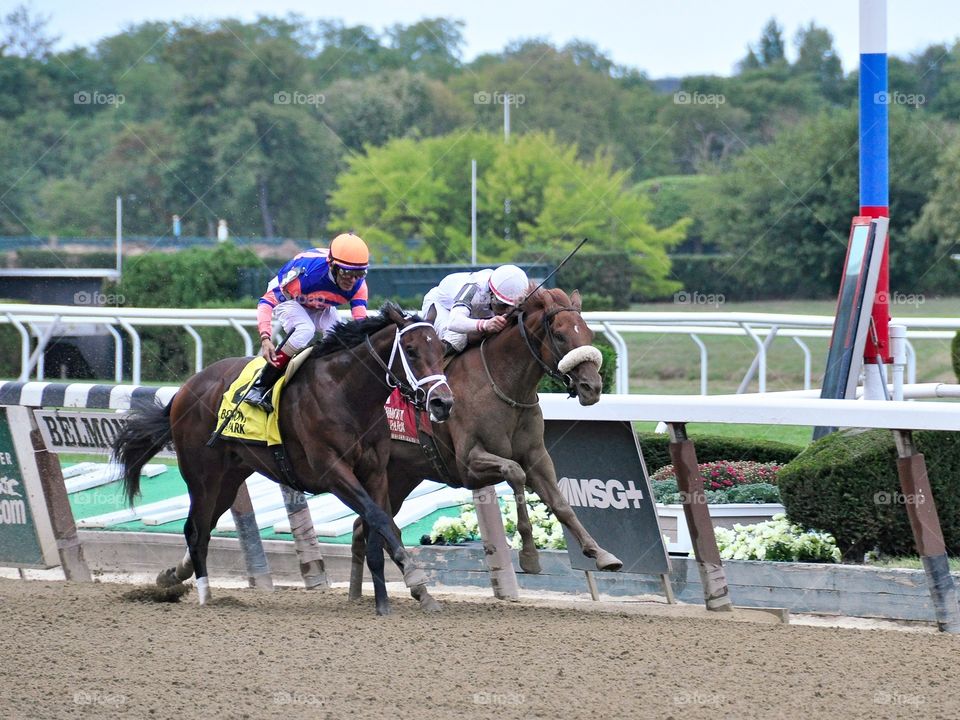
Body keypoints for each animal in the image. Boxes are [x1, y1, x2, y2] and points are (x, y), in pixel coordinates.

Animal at [110, 302, 456, 612]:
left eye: (441, 348)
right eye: (410, 350)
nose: (443, 403)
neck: (346, 394)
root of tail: (185, 387)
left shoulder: (375, 471)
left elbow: (378, 524)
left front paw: (390, 601)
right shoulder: (332, 470)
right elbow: (380, 519)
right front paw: (414, 578)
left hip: (229, 479)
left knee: (203, 528)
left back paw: (174, 578)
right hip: (202, 475)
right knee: (195, 530)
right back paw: (205, 597)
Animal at [350, 284, 624, 612]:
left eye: (588, 333)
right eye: (559, 335)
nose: (592, 387)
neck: (503, 385)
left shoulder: (537, 456)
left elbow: (561, 504)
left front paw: (602, 554)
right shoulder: (469, 464)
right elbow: (516, 473)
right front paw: (529, 556)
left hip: (400, 476)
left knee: (363, 526)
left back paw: (356, 593)